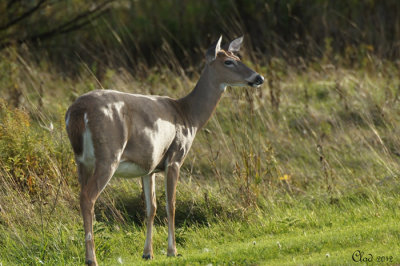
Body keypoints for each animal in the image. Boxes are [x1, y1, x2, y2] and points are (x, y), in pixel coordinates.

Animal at [65, 35, 264, 264]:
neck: (189, 117)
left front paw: (147, 253)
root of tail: (77, 112)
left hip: (81, 161)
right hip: (108, 155)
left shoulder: (148, 167)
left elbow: (151, 208)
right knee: (88, 198)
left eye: (238, 57)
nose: (258, 77)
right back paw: (91, 259)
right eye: (228, 62)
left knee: (82, 195)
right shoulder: (175, 157)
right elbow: (171, 204)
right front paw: (172, 250)